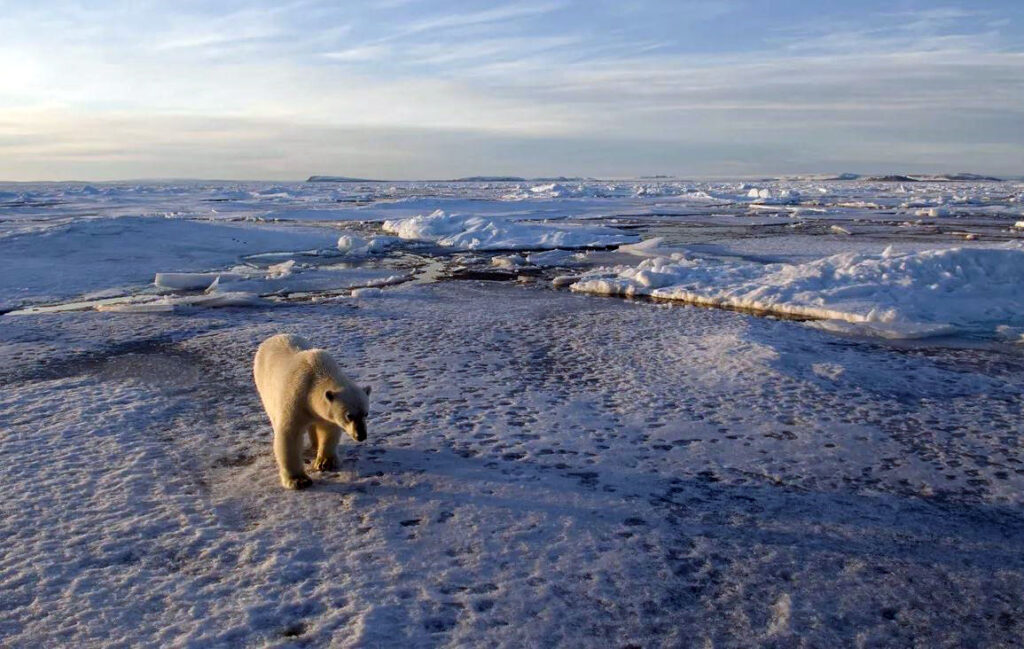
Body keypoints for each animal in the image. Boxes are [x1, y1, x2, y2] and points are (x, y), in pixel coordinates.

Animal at [253, 331, 370, 487]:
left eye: (366, 413)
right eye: (349, 415)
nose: (361, 435)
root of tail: (272, 338)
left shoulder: (324, 411)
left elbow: (328, 429)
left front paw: (325, 462)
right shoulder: (295, 399)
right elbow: (290, 434)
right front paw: (298, 480)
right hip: (265, 388)